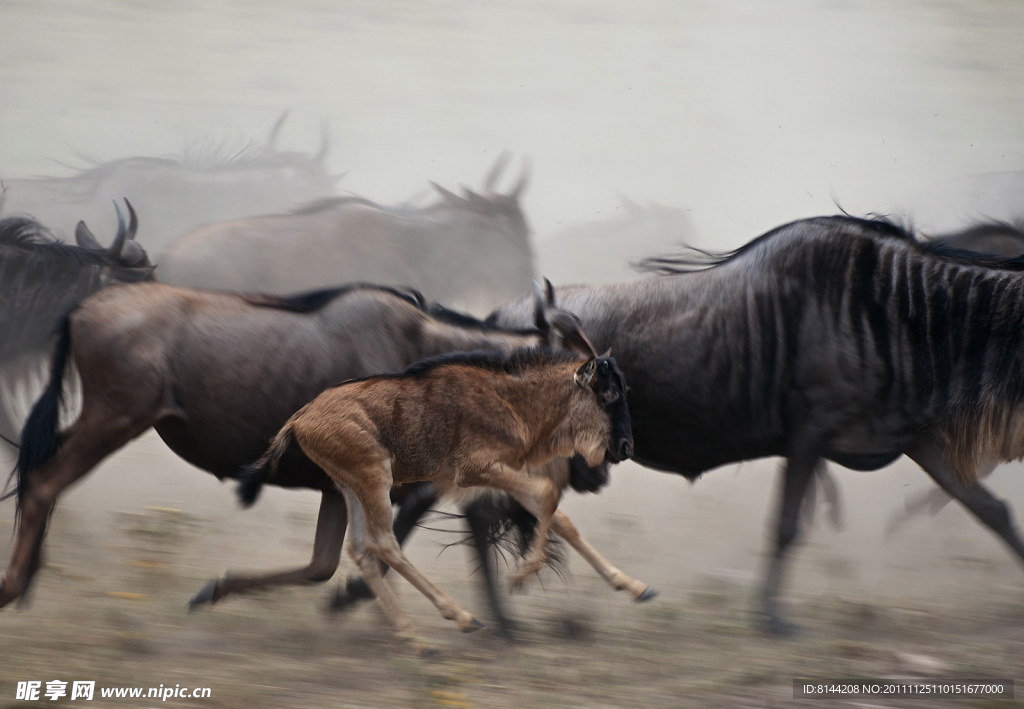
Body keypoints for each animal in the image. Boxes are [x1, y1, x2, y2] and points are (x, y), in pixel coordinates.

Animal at [237, 346, 647, 643]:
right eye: (609, 394)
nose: (626, 447)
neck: (515, 402)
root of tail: (301, 416)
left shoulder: (502, 474)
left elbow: (560, 518)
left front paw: (634, 586)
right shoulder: (476, 470)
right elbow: (548, 496)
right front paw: (521, 577)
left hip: (350, 484)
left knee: (359, 549)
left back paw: (412, 636)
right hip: (373, 476)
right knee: (382, 543)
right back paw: (458, 620)